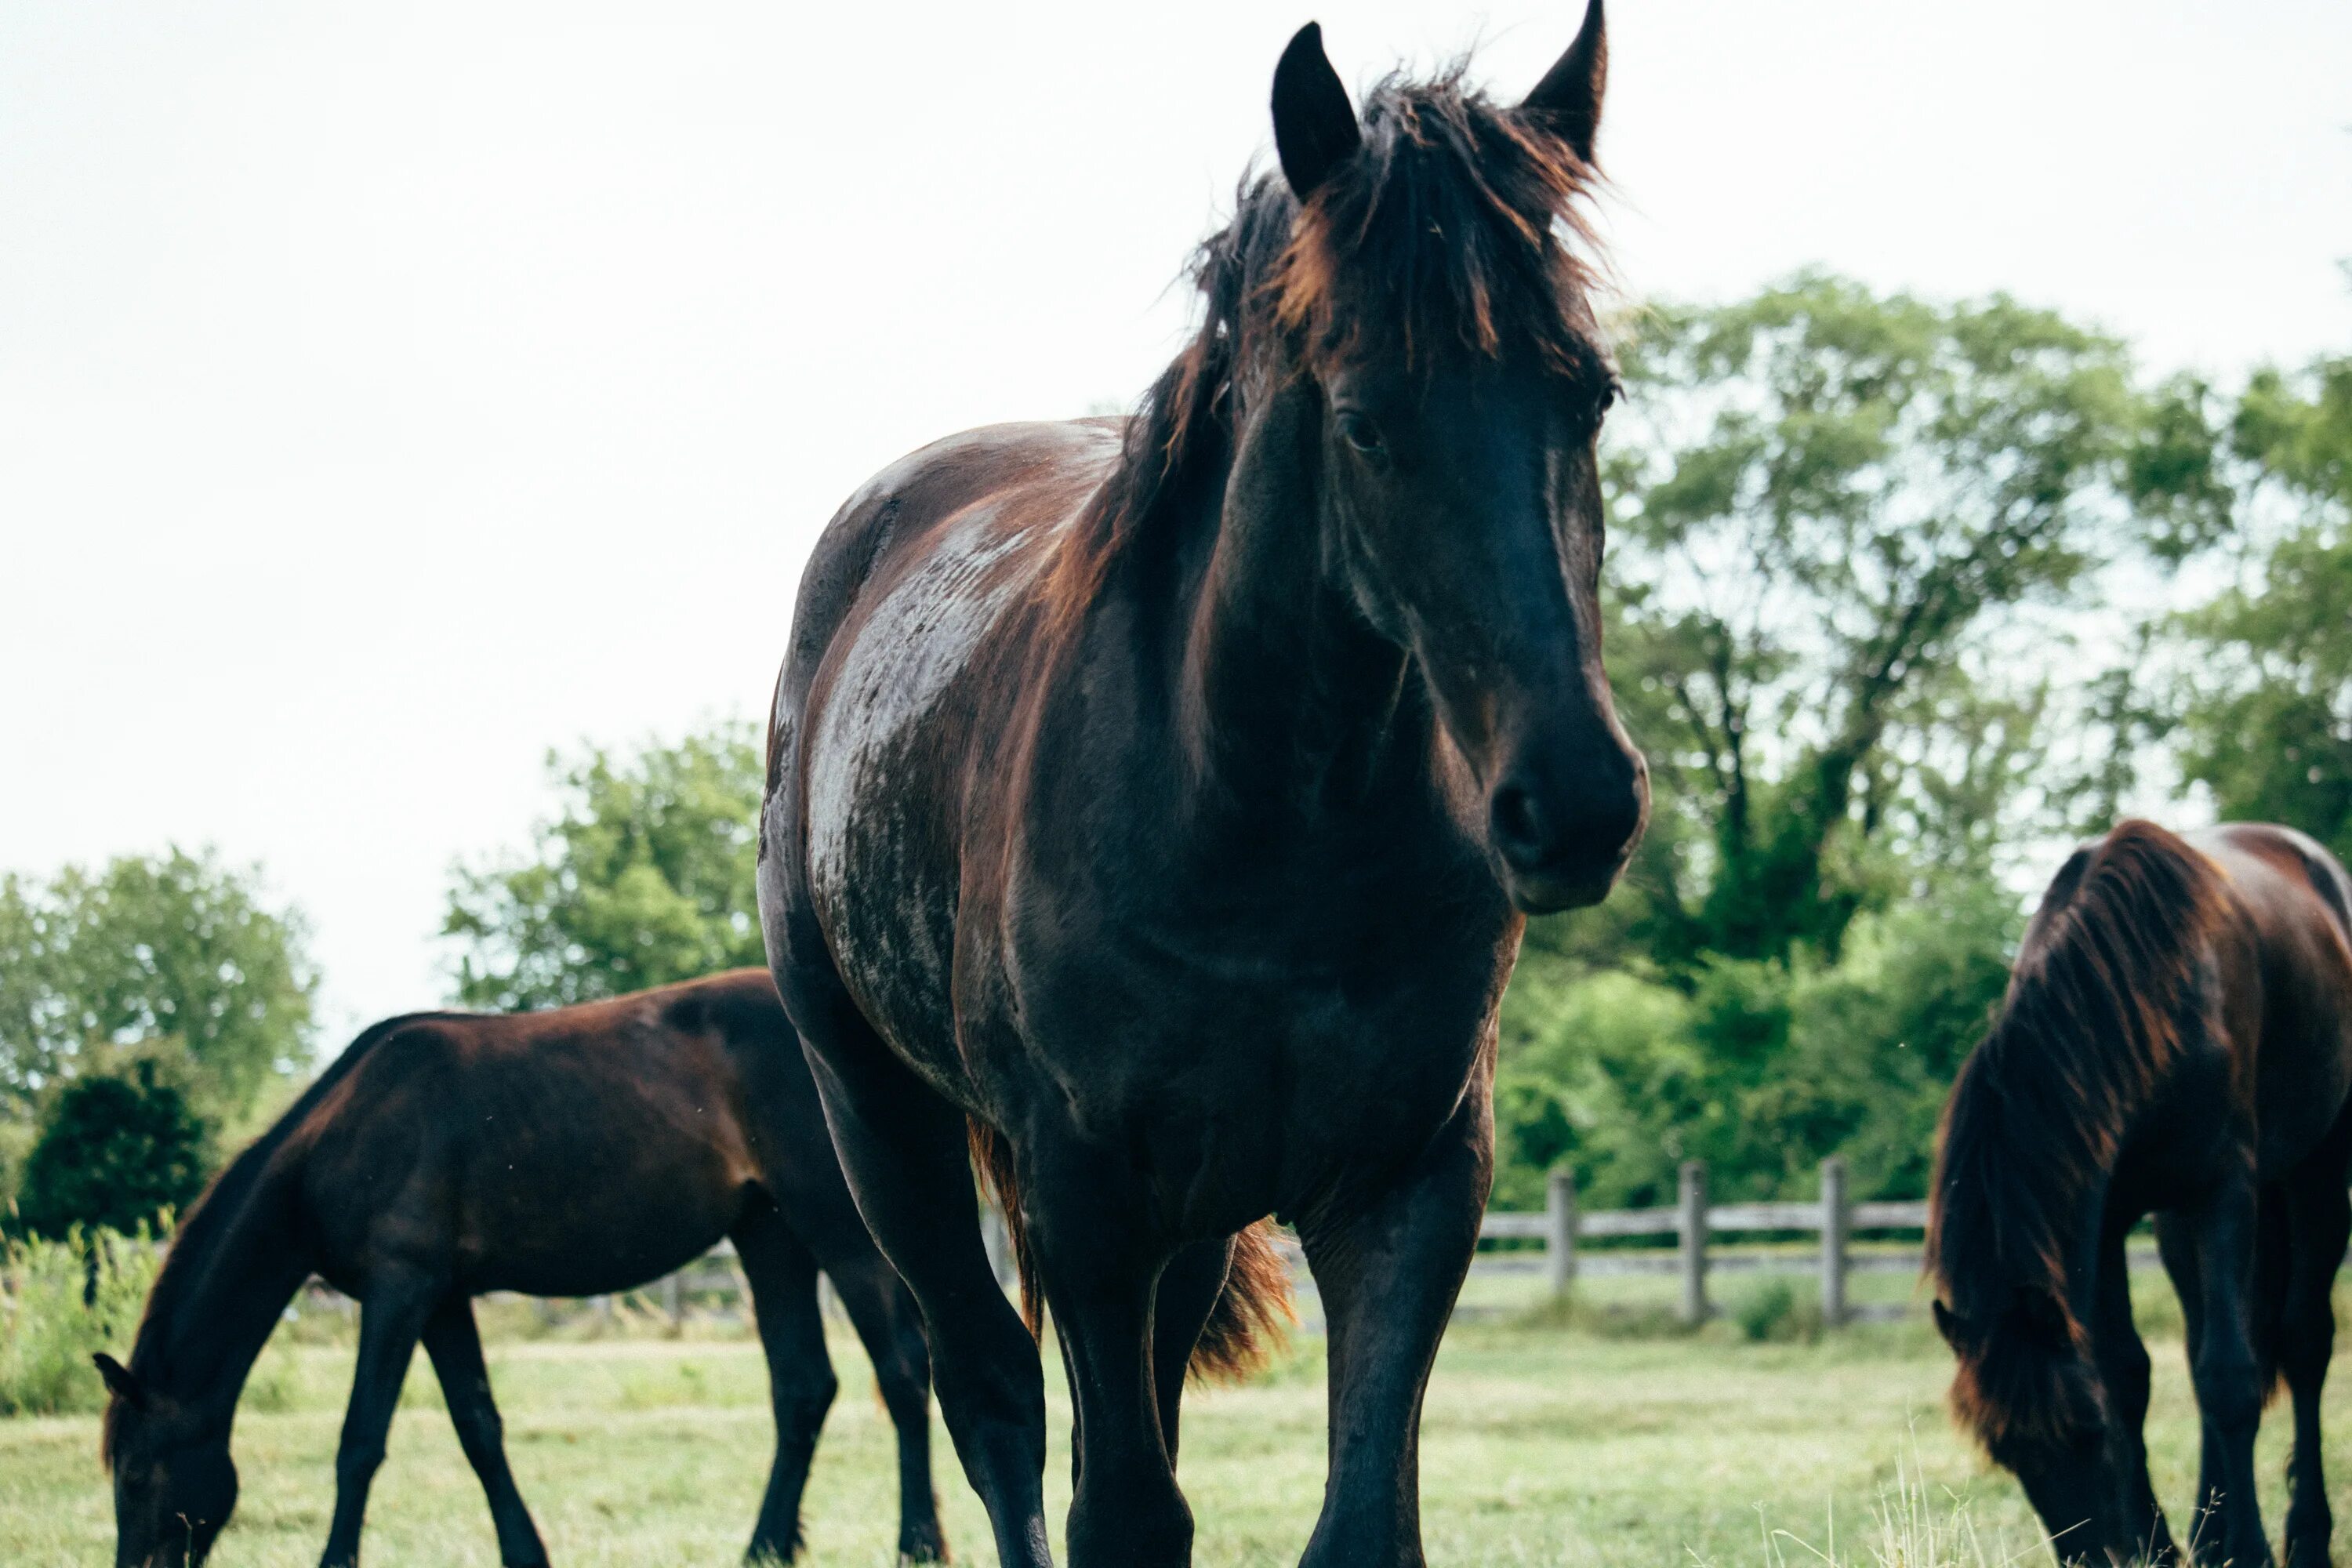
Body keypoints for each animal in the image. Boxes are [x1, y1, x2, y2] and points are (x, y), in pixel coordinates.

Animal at [94, 968, 946, 1568]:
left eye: (135, 1477)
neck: (340, 1137)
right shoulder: (442, 1301)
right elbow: (479, 1428)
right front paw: (525, 1550)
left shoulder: (399, 1292)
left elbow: (360, 1439)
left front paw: (336, 1558)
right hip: (767, 1235)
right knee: (803, 1388)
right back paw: (764, 1545)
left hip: (841, 1234)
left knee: (902, 1375)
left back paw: (918, 1541)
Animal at [762, 5, 1646, 1561]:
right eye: (1363, 420)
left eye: (1588, 395)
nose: (1578, 805)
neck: (1266, 831)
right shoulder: (1085, 1195)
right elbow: (1118, 1502)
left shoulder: (1412, 1183)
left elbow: (1362, 1519)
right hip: (881, 1127)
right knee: (989, 1395)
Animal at [1929, 822, 2352, 1568]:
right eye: (2010, 1454)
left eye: (2086, 1432)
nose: (2091, 1558)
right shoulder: (2106, 1219)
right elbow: (2130, 1371)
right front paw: (2162, 1545)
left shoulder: (2224, 1194)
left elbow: (2231, 1377)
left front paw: (2249, 1548)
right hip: (2177, 1227)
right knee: (2199, 1341)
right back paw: (2210, 1536)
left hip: (2317, 1177)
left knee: (2304, 1344)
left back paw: (2304, 1537)